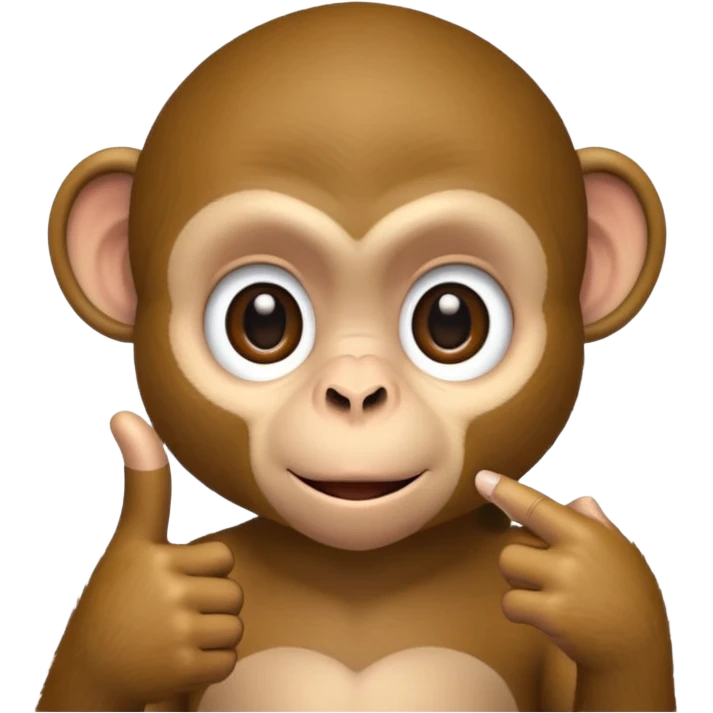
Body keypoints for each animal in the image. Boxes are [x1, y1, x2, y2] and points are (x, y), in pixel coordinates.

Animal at [36, 3, 676, 712]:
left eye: (451, 319)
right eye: (263, 319)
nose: (356, 392)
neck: (358, 577)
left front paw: (603, 593)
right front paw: (140, 608)